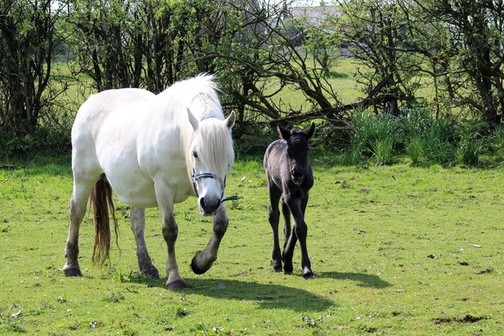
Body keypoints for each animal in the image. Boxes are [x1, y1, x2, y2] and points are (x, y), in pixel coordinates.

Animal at [63, 74, 236, 288]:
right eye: (195, 153)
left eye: (227, 157)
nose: (210, 204)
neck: (179, 137)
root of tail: (90, 102)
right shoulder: (163, 188)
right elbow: (170, 231)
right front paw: (174, 277)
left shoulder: (214, 190)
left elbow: (220, 224)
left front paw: (201, 262)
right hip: (83, 177)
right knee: (76, 213)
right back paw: (71, 265)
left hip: (137, 190)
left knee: (137, 224)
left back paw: (146, 266)